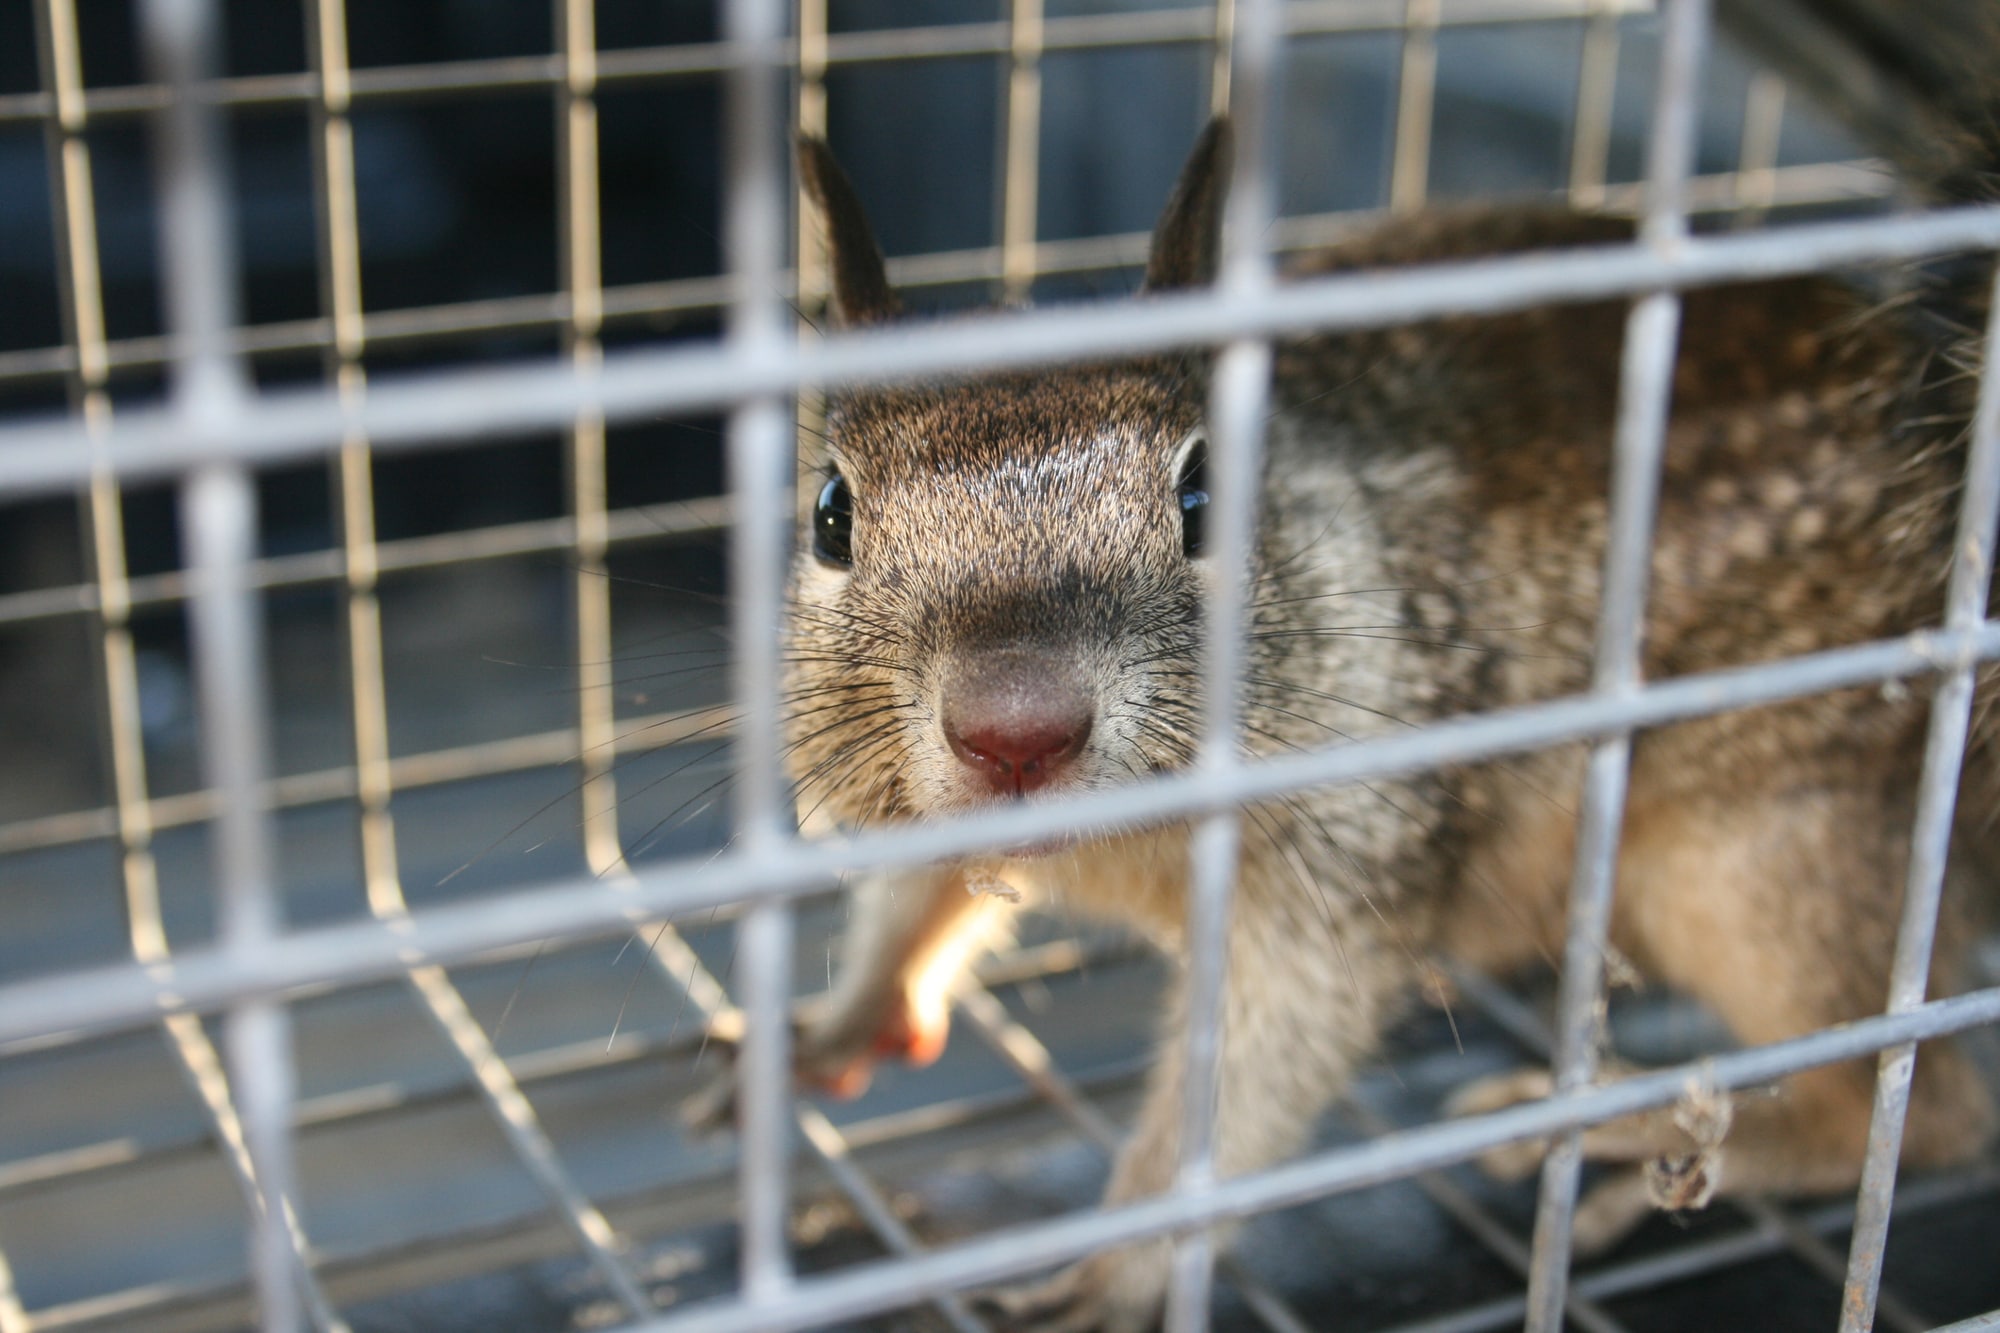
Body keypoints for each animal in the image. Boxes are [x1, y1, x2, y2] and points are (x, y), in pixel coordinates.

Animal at [688, 54, 2000, 1333]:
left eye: (1204, 496)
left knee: (1916, 1109)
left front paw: (1114, 1267)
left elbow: (1248, 1081)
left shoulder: (1341, 875)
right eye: (829, 514)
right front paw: (832, 1025)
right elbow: (906, 903)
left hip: (1766, 858)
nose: (1016, 728)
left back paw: (1632, 1131)